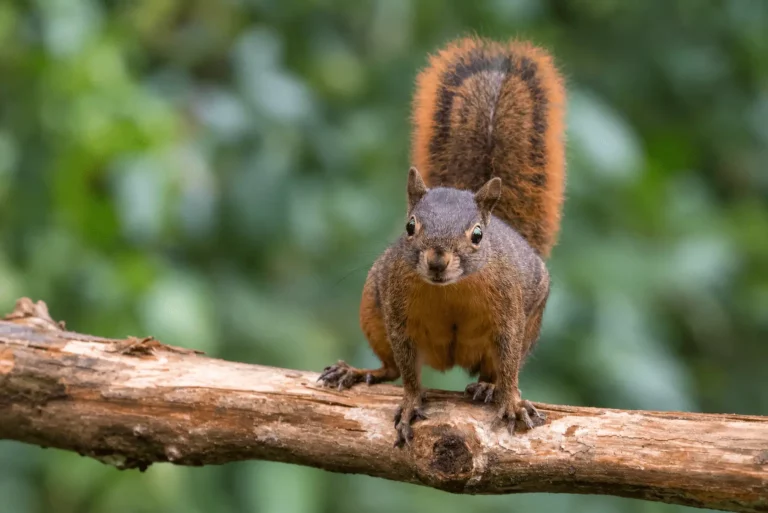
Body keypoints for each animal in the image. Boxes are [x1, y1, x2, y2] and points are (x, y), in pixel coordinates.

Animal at [318, 36, 566, 447]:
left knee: (493, 368)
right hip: (372, 315)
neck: (451, 290)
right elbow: (407, 369)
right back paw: (356, 372)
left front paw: (511, 400)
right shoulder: (397, 313)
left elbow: (509, 362)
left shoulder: (510, 312)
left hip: (531, 322)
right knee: (389, 367)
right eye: (409, 227)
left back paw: (487, 388)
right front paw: (409, 402)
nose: (436, 261)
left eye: (477, 235)